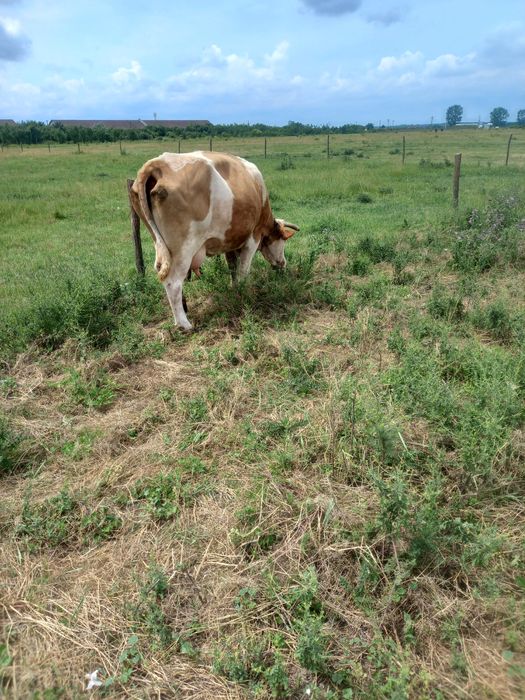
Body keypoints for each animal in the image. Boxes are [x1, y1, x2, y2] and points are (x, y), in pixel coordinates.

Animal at [130, 151, 299, 330]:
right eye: (283, 240)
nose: (283, 263)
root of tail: (157, 164)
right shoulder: (254, 236)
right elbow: (243, 269)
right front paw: (244, 292)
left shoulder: (229, 241)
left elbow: (232, 267)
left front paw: (234, 288)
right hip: (184, 249)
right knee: (173, 282)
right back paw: (184, 324)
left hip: (161, 244)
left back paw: (184, 308)